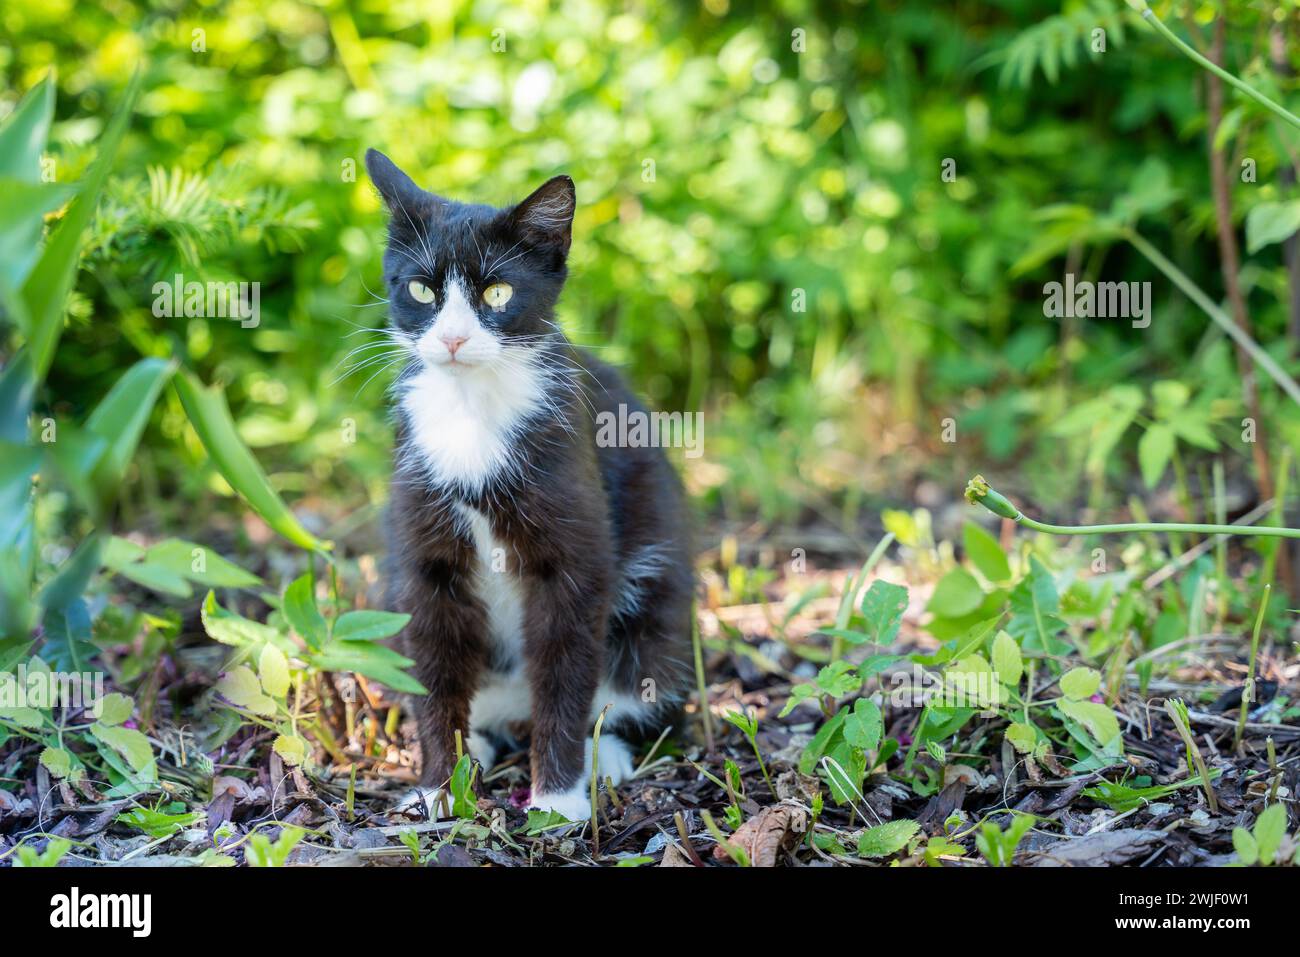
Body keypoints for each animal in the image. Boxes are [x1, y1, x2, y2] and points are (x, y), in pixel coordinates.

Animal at [361, 151, 696, 821]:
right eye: (420, 289)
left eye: (497, 291)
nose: (453, 338)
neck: (471, 408)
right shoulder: (421, 555)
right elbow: (431, 664)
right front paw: (438, 789)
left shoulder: (573, 545)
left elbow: (567, 664)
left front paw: (558, 799)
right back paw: (481, 740)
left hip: (659, 596)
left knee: (640, 675)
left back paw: (605, 751)